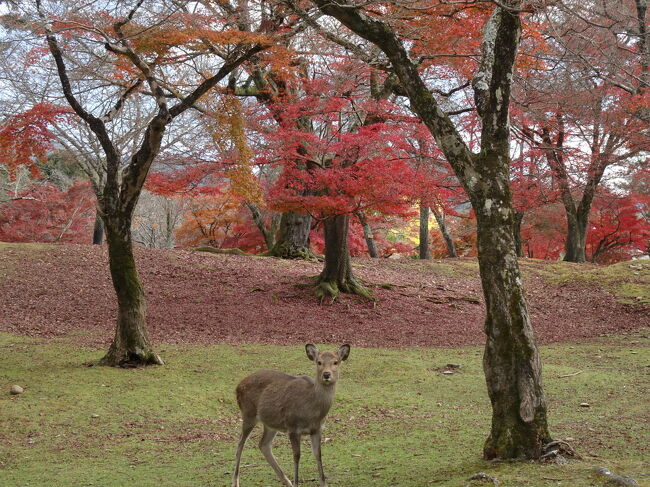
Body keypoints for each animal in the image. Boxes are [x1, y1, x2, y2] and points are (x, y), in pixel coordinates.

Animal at [232, 344, 350, 487]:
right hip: (248, 413)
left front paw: (323, 483)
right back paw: (235, 482)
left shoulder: (317, 429)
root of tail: (238, 386)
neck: (312, 413)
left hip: (270, 423)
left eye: (336, 362)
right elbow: (297, 456)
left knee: (263, 444)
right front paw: (296, 482)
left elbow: (318, 455)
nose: (326, 374)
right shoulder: (293, 427)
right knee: (240, 443)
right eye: (319, 362)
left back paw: (287, 481)